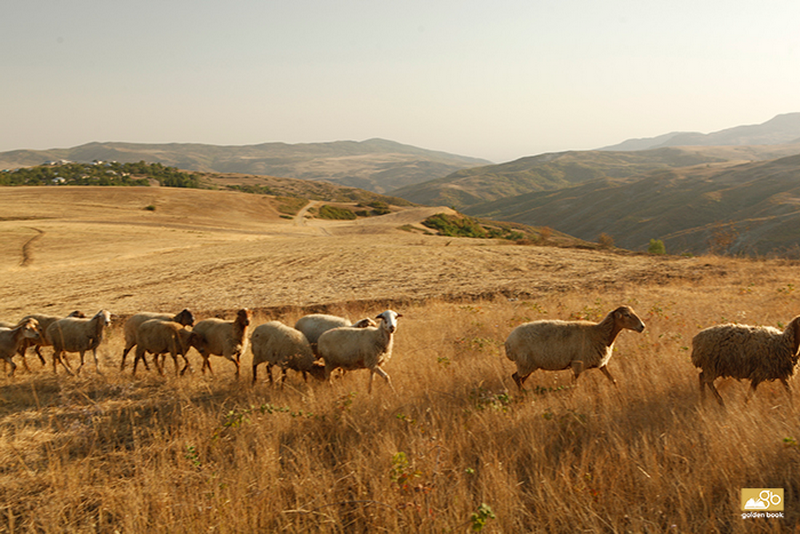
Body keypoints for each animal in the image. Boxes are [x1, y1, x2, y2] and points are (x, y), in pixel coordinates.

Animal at [504, 308, 648, 392]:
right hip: (525, 362)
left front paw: (618, 392)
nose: (642, 326)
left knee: (519, 379)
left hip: (530, 364)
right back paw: (524, 394)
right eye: (627, 315)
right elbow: (573, 386)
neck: (601, 334)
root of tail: (508, 343)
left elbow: (613, 380)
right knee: (516, 377)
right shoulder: (578, 364)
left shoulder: (601, 364)